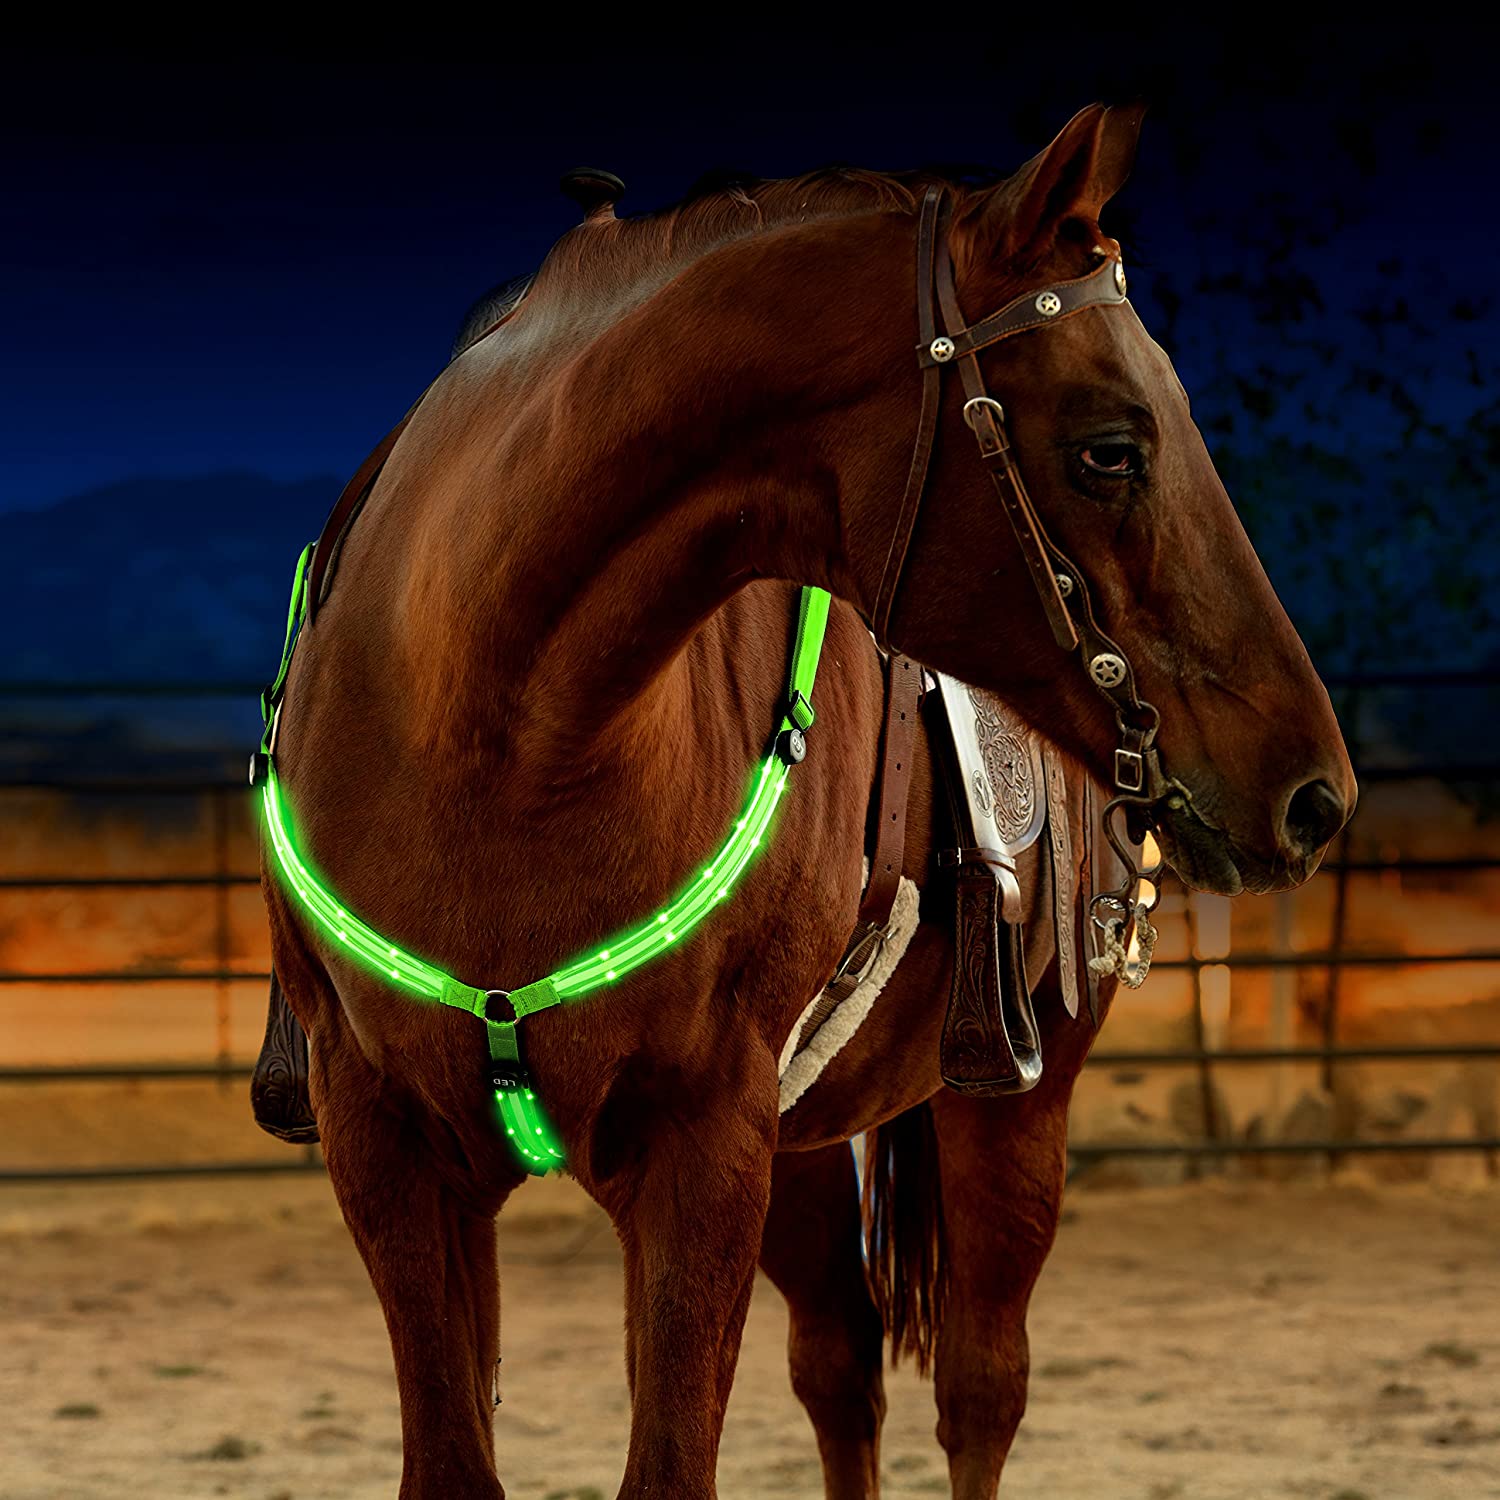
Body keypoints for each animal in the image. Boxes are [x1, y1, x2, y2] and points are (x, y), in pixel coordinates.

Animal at [259, 102, 1355, 1497]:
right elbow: (461, 1460)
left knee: (980, 1389)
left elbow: (674, 1461)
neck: (492, 737)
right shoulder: (390, 1148)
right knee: (841, 1367)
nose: (1314, 794)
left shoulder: (702, 1148)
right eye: (1112, 449)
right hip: (803, 1145)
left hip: (1012, 1101)